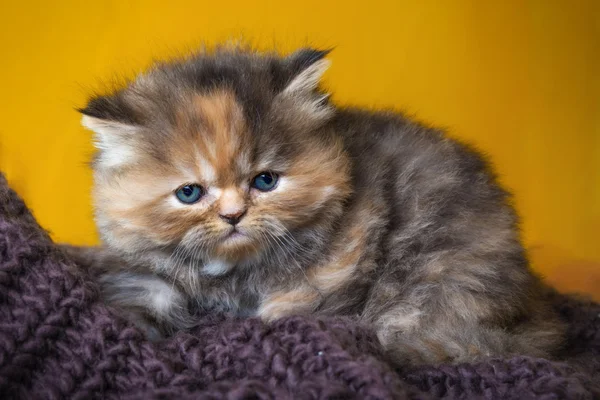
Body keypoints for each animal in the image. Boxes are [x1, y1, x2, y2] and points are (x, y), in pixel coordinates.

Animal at [63, 46, 564, 366]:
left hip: (437, 276)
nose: (233, 215)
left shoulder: (333, 280)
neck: (233, 279)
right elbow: (143, 295)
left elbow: (288, 315)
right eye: (189, 193)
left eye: (265, 181)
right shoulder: (137, 267)